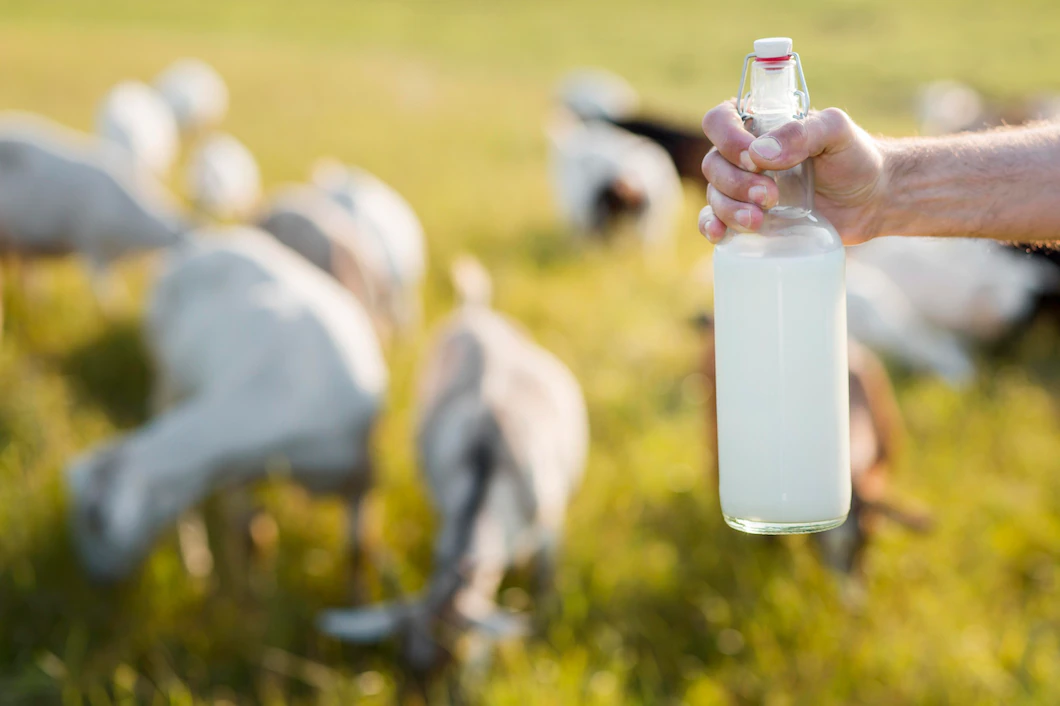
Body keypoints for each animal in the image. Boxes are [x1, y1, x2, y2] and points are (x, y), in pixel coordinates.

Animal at [64, 227, 385, 580]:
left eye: (93, 521)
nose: (94, 578)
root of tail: (202, 241)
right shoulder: (235, 470)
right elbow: (249, 536)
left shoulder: (361, 474)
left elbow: (356, 551)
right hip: (166, 374)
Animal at [317, 255, 593, 674]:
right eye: (403, 663)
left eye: (454, 660)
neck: (489, 465)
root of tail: (473, 311)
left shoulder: (550, 528)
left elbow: (545, 584)